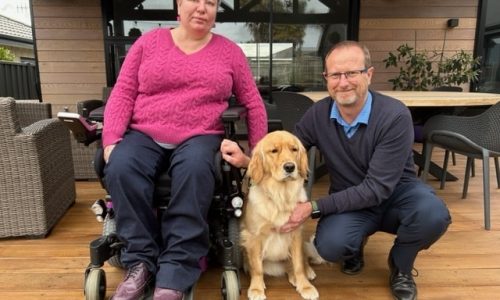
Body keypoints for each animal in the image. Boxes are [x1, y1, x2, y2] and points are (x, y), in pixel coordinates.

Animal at [240, 131, 318, 300]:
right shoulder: (253, 237)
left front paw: (305, 286)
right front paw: (256, 289)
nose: (290, 167)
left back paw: (305, 272)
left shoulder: (295, 233)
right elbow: (257, 268)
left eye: (294, 149)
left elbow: (298, 264)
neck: (280, 196)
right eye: (274, 151)